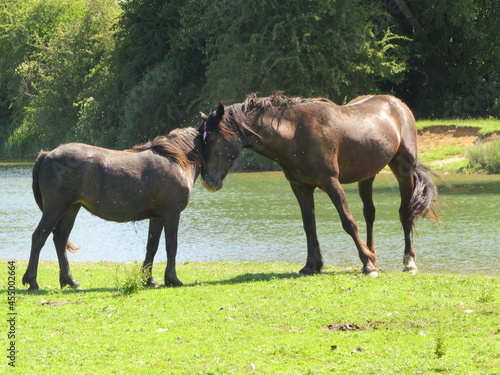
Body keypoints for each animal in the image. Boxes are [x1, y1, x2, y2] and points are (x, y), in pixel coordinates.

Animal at [23, 128, 203, 292]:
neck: (177, 161)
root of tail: (47, 155)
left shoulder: (157, 217)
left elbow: (152, 246)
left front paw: (149, 280)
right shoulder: (172, 213)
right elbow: (171, 246)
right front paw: (172, 279)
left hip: (70, 210)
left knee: (60, 240)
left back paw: (69, 281)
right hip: (55, 209)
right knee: (39, 237)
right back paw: (32, 281)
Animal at [200, 94, 438, 276]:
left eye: (210, 139)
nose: (207, 181)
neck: (295, 132)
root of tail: (397, 103)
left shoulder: (331, 182)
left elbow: (348, 222)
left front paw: (367, 265)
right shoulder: (301, 187)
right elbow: (309, 226)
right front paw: (311, 265)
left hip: (403, 170)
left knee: (405, 213)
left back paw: (408, 261)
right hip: (367, 176)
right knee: (370, 213)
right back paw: (373, 255)